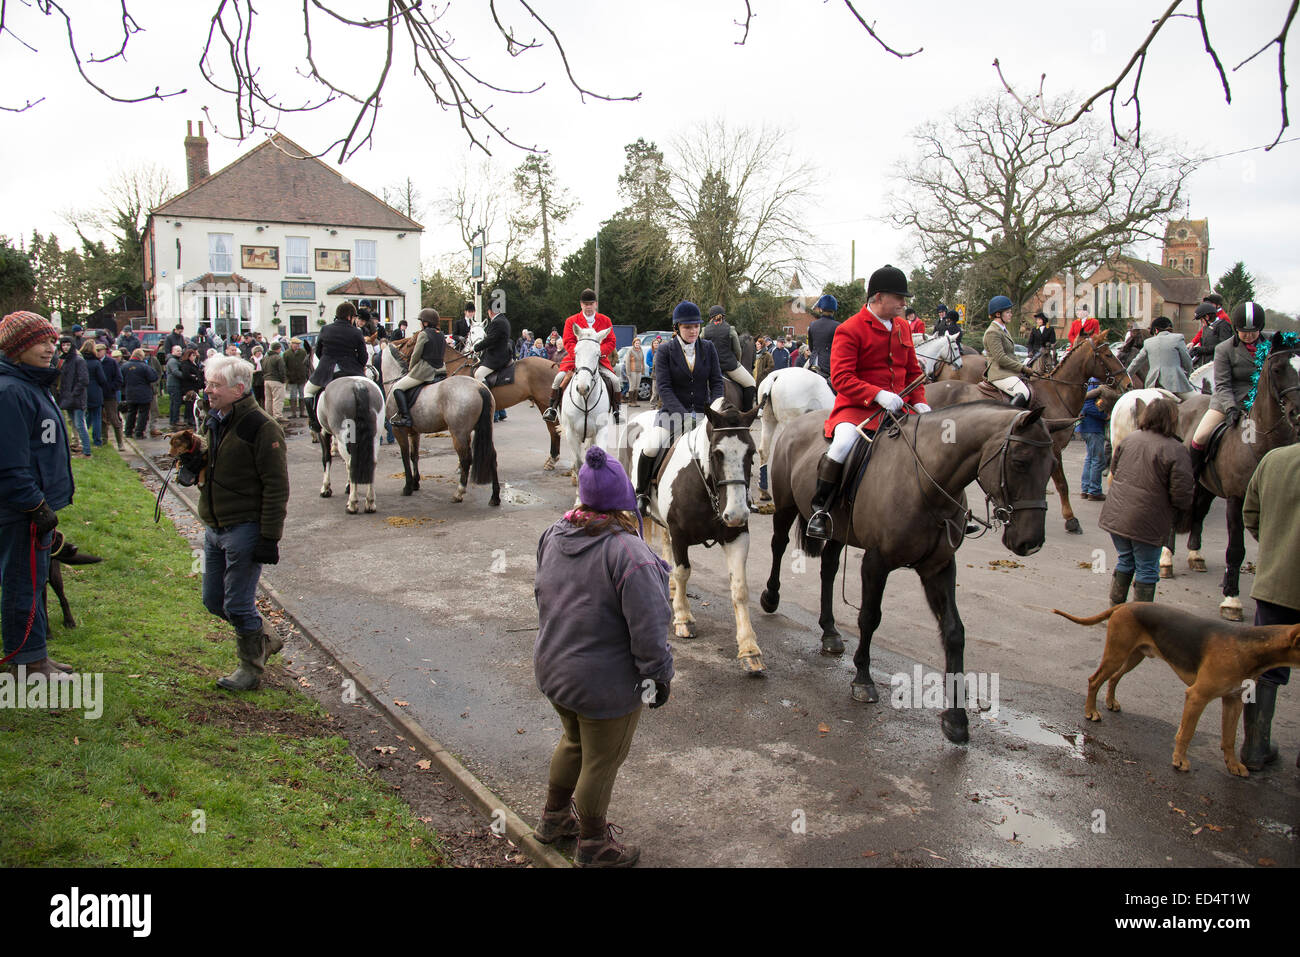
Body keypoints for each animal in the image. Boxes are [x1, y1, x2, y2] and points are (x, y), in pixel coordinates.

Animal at [314, 374, 384, 514]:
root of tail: (358, 385)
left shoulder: (323, 432)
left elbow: (327, 459)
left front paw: (326, 488)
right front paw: (348, 486)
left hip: (343, 438)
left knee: (351, 463)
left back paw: (352, 504)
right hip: (375, 438)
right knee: (371, 463)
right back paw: (370, 502)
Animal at [561, 327, 616, 486]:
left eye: (597, 354)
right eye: (576, 352)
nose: (582, 388)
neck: (585, 400)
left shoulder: (601, 430)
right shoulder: (571, 433)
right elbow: (578, 464)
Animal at [759, 403, 1066, 738]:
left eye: (1052, 465)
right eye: (1020, 462)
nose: (1030, 543)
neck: (929, 486)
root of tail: (801, 420)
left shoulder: (939, 567)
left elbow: (954, 631)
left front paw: (956, 716)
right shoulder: (876, 562)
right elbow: (869, 618)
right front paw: (863, 679)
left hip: (838, 529)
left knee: (828, 568)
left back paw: (829, 631)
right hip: (786, 506)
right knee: (778, 545)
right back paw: (771, 597)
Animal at [1055, 605, 1300, 780]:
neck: (1247, 647)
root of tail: (1125, 605)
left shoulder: (1234, 699)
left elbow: (1229, 738)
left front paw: (1233, 765)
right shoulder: (1197, 696)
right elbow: (1186, 733)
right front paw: (1180, 761)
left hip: (1135, 655)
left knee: (1114, 678)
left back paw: (1111, 702)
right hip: (1117, 654)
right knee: (1094, 680)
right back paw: (1091, 712)